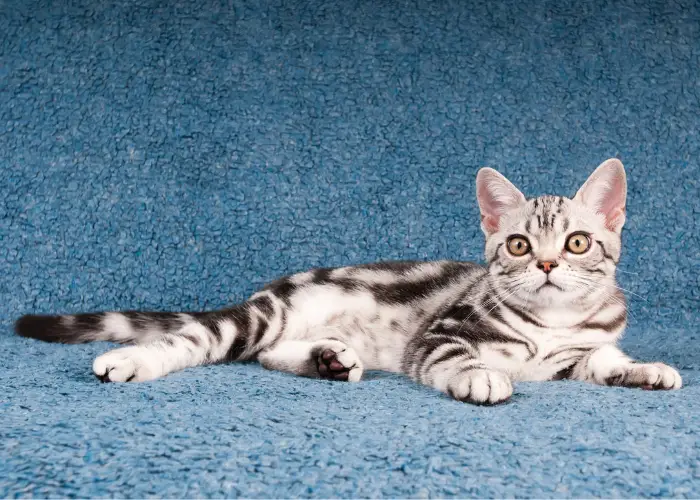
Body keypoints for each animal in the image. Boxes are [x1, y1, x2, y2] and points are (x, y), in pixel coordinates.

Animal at [15, 158, 684, 404]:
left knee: (265, 357)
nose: (546, 265)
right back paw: (129, 361)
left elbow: (603, 360)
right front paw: (481, 377)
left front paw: (646, 370)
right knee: (198, 341)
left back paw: (328, 360)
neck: (552, 324)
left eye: (576, 242)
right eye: (519, 245)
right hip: (257, 318)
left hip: (283, 333)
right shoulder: (442, 332)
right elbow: (462, 358)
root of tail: (269, 290)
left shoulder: (575, 355)